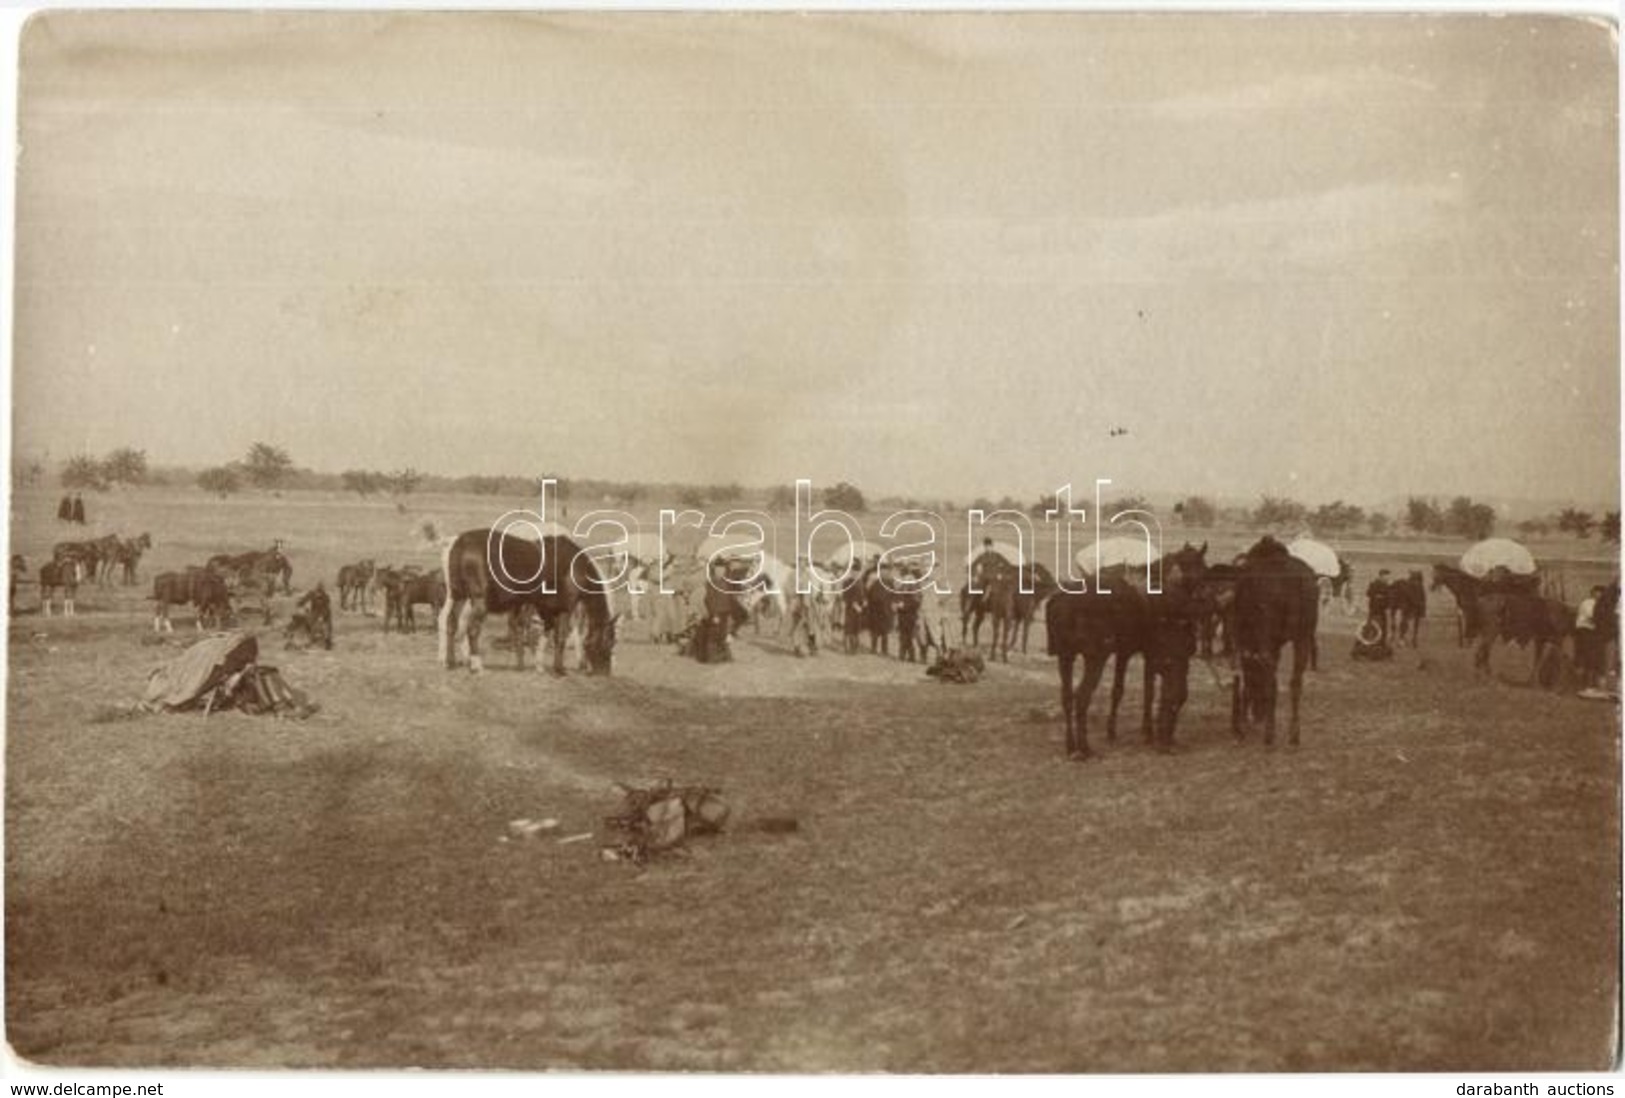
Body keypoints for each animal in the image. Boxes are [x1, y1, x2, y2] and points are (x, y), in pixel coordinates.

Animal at [438, 526, 614, 672]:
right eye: (610, 641)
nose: (605, 672)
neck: (576, 566)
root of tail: (461, 543)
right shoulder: (565, 607)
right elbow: (560, 636)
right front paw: (559, 669)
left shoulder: (544, 608)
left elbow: (541, 632)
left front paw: (535, 664)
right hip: (479, 601)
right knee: (473, 629)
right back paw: (476, 665)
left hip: (458, 595)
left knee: (451, 623)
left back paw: (450, 661)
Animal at [1228, 532, 1319, 740]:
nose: (1258, 714)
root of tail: (1297, 580)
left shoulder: (1247, 642)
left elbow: (1249, 673)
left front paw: (1243, 721)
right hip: (1303, 636)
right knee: (1296, 680)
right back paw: (1294, 734)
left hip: (1266, 637)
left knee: (1272, 679)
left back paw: (1269, 733)